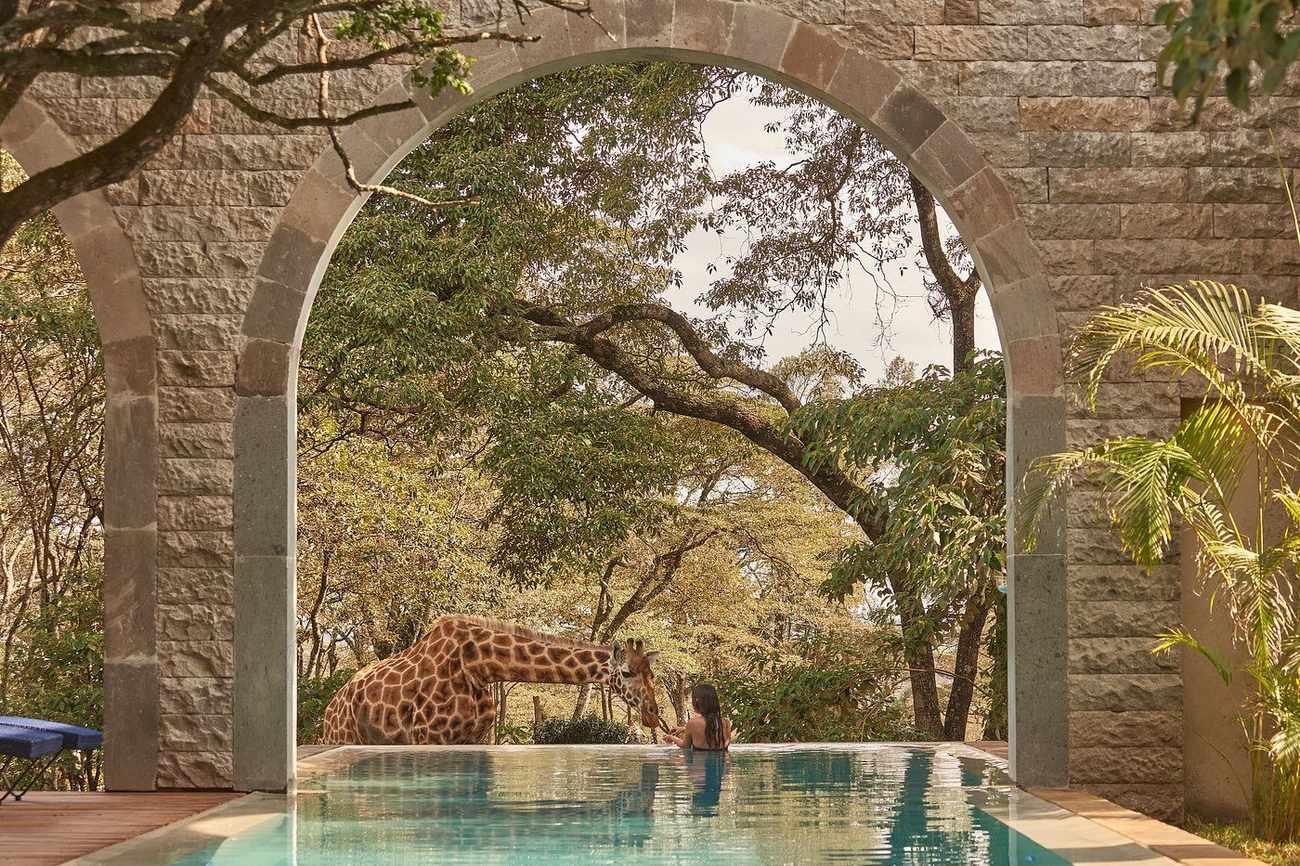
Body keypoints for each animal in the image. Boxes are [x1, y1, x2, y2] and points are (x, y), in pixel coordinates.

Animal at [321, 615, 662, 745]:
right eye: (627, 672)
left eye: (652, 674)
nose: (652, 714)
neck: (479, 665)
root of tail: (329, 708)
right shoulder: (428, 737)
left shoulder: (475, 738)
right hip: (342, 737)